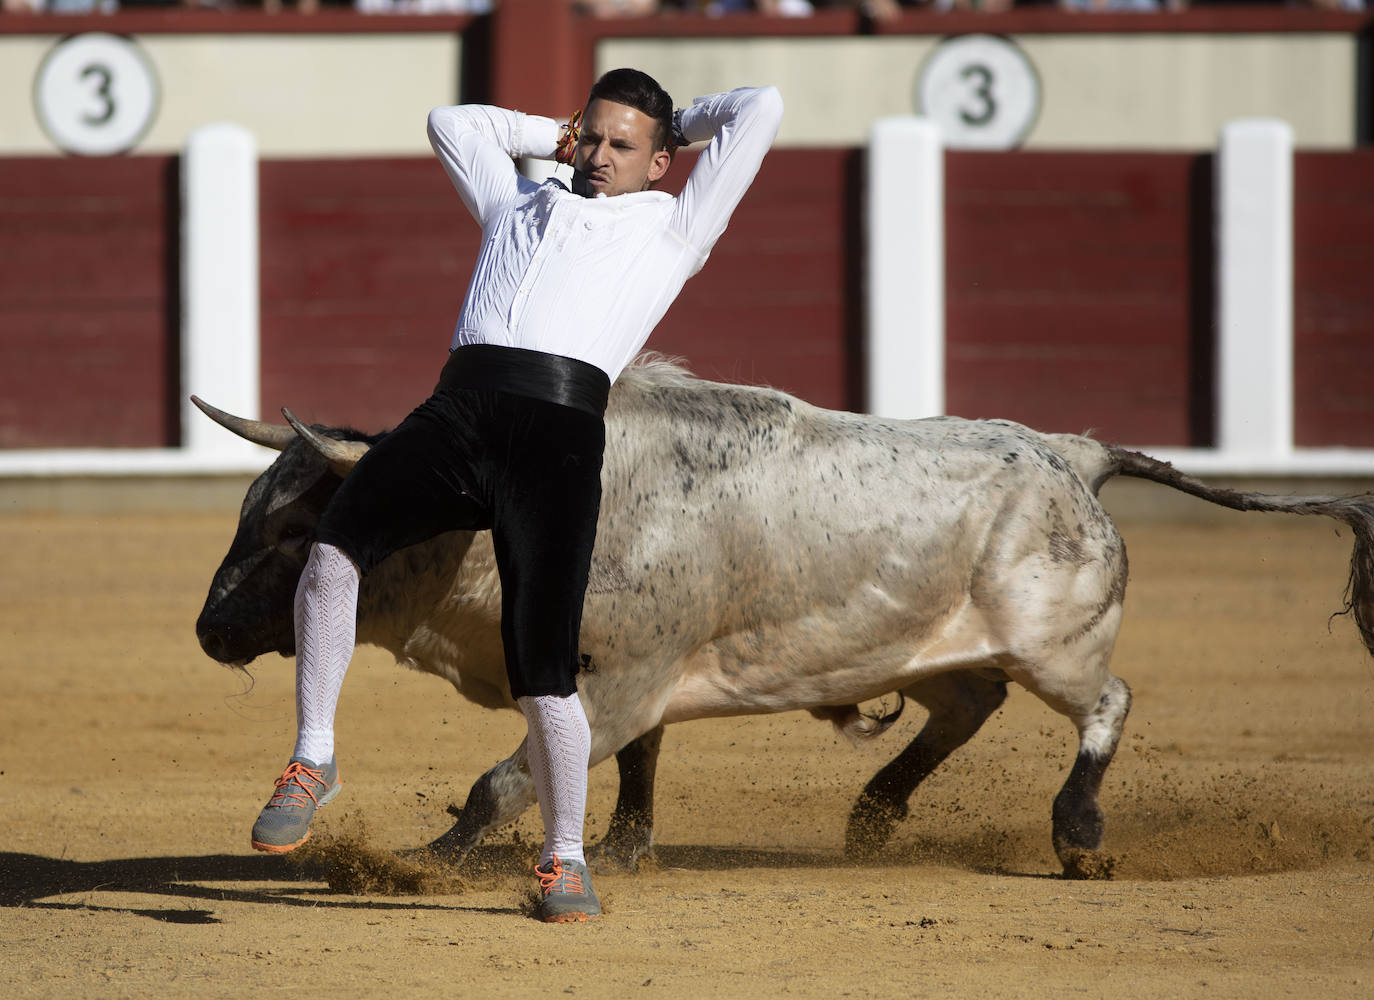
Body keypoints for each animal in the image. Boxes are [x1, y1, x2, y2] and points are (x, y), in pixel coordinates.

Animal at [193, 359, 1374, 873]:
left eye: (299, 529)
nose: (209, 632)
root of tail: (1071, 450)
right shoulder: (619, 673)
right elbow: (631, 763)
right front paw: (626, 847)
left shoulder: (621, 677)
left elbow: (507, 779)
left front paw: (428, 856)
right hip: (938, 641)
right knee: (967, 706)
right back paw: (874, 814)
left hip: (1057, 643)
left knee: (1106, 703)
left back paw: (1077, 837)